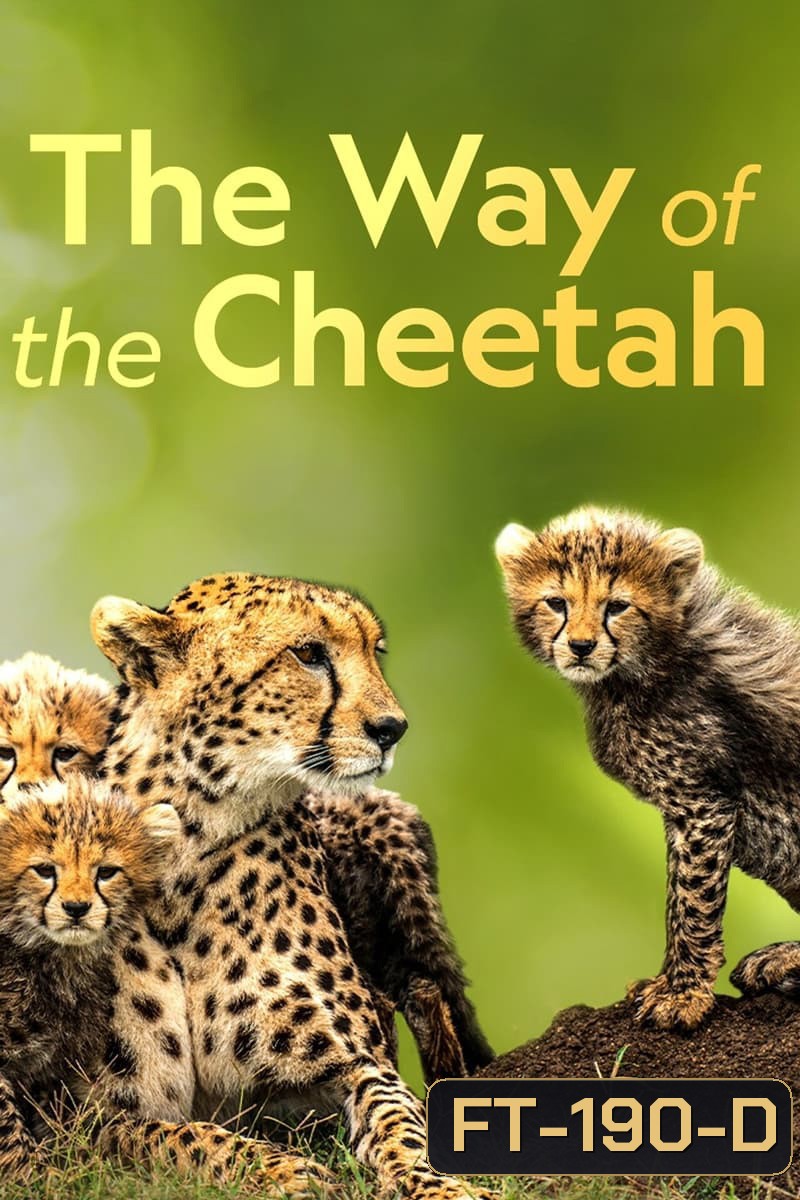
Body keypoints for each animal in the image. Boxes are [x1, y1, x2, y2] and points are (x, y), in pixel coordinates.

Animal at [91, 573, 493, 1200]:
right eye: (309, 654)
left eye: (375, 652)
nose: (393, 728)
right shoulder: (87, 1116)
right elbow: (177, 1139)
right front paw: (281, 1169)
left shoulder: (355, 1061)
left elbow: (400, 1123)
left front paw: (438, 1184)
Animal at [496, 506, 800, 1032]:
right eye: (556, 602)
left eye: (617, 606)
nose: (580, 646)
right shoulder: (684, 808)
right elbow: (677, 898)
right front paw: (667, 983)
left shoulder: (702, 803)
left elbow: (693, 900)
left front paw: (683, 994)